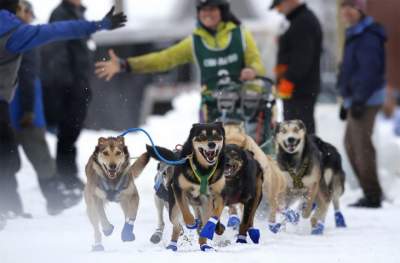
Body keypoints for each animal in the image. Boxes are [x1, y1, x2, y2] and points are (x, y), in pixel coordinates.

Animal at [147, 122, 228, 253]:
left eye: (217, 135)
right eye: (201, 136)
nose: (212, 144)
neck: (203, 169)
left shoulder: (220, 193)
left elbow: (216, 213)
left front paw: (210, 227)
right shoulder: (178, 190)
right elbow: (185, 210)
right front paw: (190, 222)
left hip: (204, 204)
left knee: (202, 224)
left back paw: (204, 243)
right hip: (171, 206)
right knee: (176, 225)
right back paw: (172, 244)